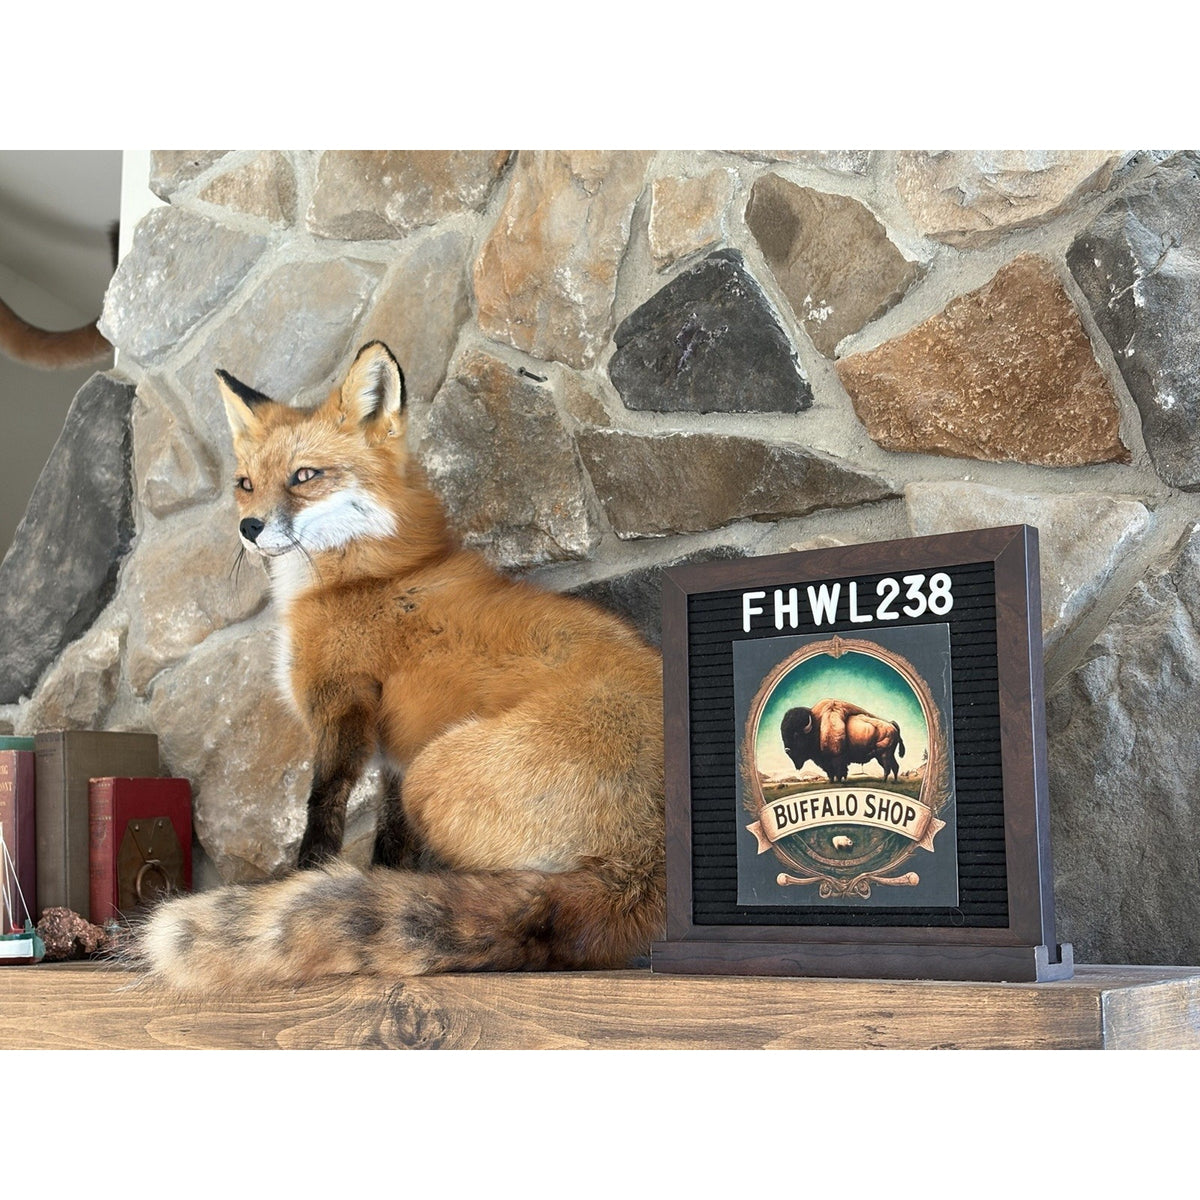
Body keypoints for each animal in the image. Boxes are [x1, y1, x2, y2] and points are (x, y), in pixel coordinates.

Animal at [133, 340, 666, 992]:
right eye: (245, 484)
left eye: (304, 476)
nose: (249, 527)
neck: (370, 572)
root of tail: (647, 863)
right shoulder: (393, 753)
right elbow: (389, 845)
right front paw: (368, 882)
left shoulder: (342, 706)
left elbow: (322, 811)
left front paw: (305, 879)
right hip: (424, 769)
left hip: (435, 770)